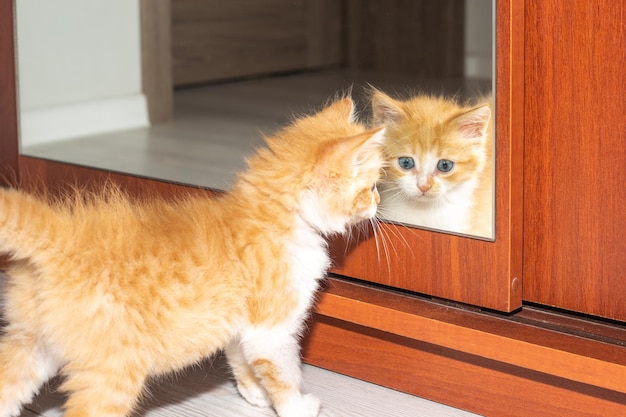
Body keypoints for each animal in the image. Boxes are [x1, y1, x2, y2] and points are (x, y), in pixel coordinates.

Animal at [0, 98, 386, 416]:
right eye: (370, 188)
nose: (379, 202)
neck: (273, 215)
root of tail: (62, 236)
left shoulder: (241, 328)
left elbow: (242, 360)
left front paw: (254, 393)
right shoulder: (272, 330)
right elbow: (284, 374)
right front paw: (296, 407)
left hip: (32, 346)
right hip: (112, 372)